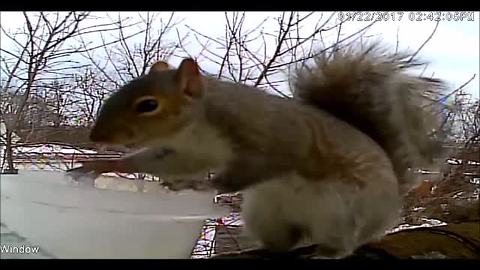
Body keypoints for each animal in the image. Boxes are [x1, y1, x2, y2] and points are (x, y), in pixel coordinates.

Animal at [69, 41, 444, 258]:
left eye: (148, 105)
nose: (96, 136)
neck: (197, 125)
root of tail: (390, 206)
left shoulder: (271, 141)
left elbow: (249, 170)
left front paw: (199, 184)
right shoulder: (188, 150)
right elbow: (164, 162)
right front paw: (99, 166)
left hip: (342, 212)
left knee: (345, 242)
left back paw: (328, 251)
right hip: (267, 215)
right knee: (281, 242)